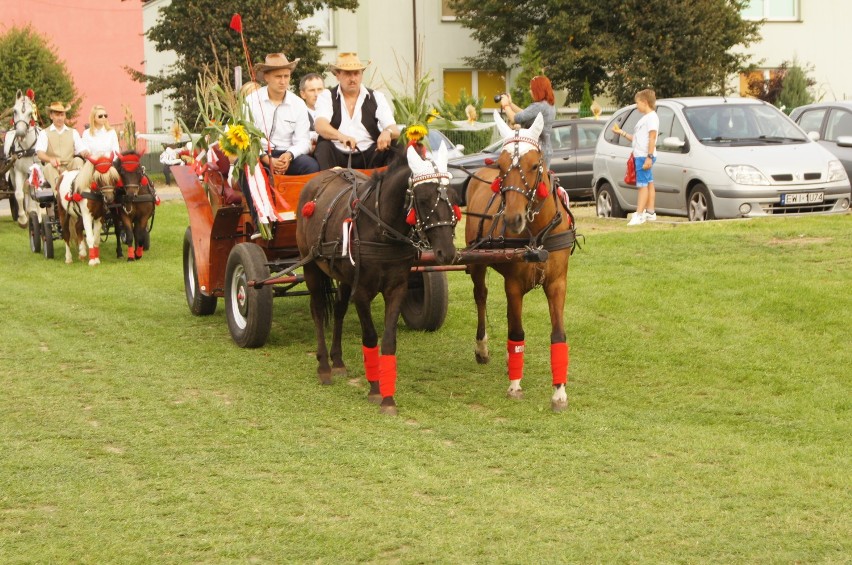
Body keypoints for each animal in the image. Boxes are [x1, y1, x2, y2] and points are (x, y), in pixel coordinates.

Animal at [2, 90, 39, 227]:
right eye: (14, 111)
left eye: (30, 113)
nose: (20, 133)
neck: (27, 148)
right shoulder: (18, 171)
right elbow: (18, 194)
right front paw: (22, 219)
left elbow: (35, 193)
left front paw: (35, 215)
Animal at [298, 142, 460, 414]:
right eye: (424, 199)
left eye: (454, 198)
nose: (446, 252)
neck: (380, 228)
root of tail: (319, 178)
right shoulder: (362, 292)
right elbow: (371, 337)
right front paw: (375, 390)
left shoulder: (397, 288)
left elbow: (388, 340)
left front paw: (388, 398)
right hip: (310, 264)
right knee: (318, 310)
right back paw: (324, 367)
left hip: (344, 276)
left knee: (339, 310)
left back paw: (337, 361)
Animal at [466, 111, 580, 410]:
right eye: (502, 164)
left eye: (534, 164)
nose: (513, 219)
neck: (537, 234)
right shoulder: (514, 285)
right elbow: (517, 332)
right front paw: (515, 385)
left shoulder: (557, 284)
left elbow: (558, 335)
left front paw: (559, 392)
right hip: (477, 262)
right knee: (481, 297)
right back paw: (482, 347)